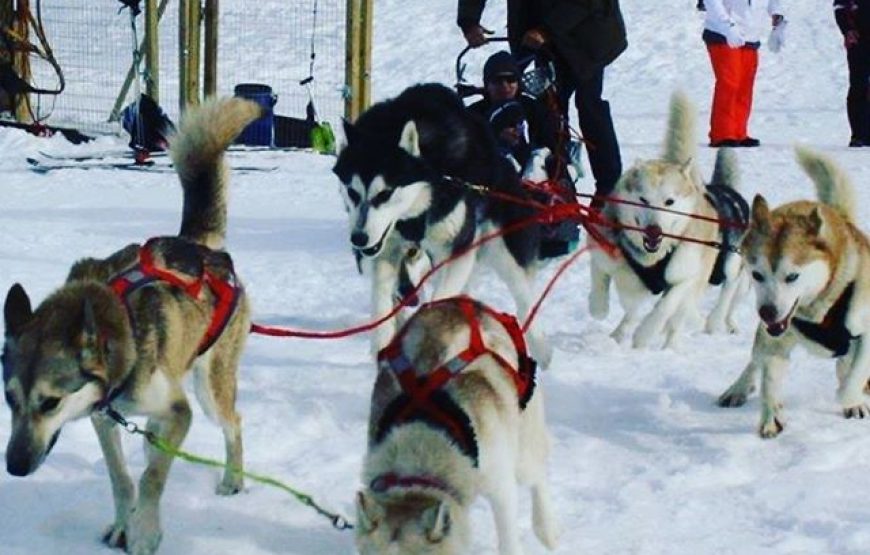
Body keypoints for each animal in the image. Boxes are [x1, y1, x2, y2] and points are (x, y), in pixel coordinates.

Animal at [3, 97, 258, 552]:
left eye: (50, 403)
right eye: (9, 399)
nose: (14, 467)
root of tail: (200, 246)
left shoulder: (179, 413)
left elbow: (152, 477)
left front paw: (145, 532)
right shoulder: (103, 417)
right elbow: (121, 479)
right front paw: (125, 522)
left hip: (210, 389)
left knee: (233, 424)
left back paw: (232, 480)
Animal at [338, 83, 556, 364]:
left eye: (384, 194)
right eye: (352, 192)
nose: (359, 238)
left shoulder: (458, 249)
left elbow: (438, 300)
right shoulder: (387, 251)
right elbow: (381, 303)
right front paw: (382, 345)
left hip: (503, 249)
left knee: (523, 296)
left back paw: (540, 347)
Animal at [354, 298, 560, 552]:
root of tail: (461, 302)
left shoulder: (501, 488)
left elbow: (508, 539)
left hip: (522, 446)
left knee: (537, 475)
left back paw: (547, 529)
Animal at [592, 93, 748, 350]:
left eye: (669, 201)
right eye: (643, 199)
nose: (653, 230)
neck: (655, 257)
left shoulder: (686, 276)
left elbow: (665, 306)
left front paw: (644, 335)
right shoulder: (604, 250)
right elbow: (600, 278)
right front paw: (599, 307)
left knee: (700, 309)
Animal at [720, 147, 870, 438]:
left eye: (792, 276)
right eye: (757, 275)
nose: (767, 312)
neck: (821, 308)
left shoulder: (866, 333)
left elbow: (852, 378)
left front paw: (852, 399)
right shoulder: (775, 340)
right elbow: (769, 379)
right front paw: (771, 415)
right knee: (755, 361)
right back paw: (738, 388)